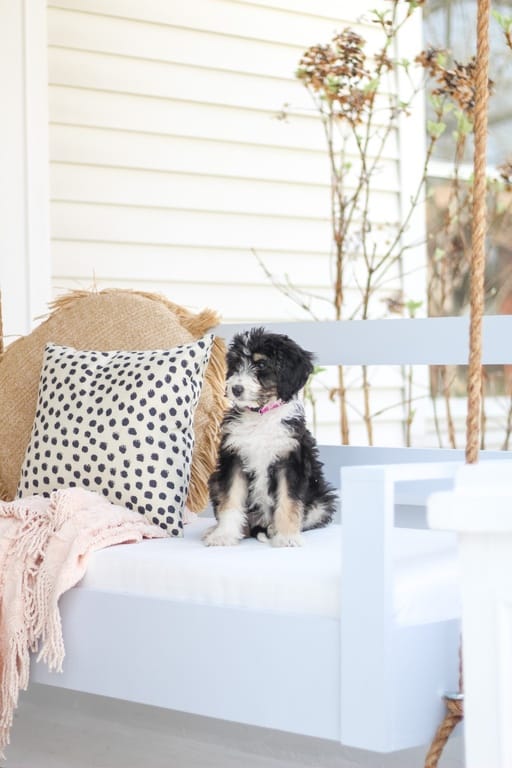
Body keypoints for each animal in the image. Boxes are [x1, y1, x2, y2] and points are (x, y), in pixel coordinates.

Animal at [202, 328, 338, 548]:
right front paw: (224, 534)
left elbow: (288, 501)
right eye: (236, 364)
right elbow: (230, 500)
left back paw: (274, 529)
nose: (236, 389)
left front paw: (287, 537)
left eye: (261, 365)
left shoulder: (290, 460)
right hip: (214, 480)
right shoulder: (234, 458)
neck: (261, 415)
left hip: (322, 499)